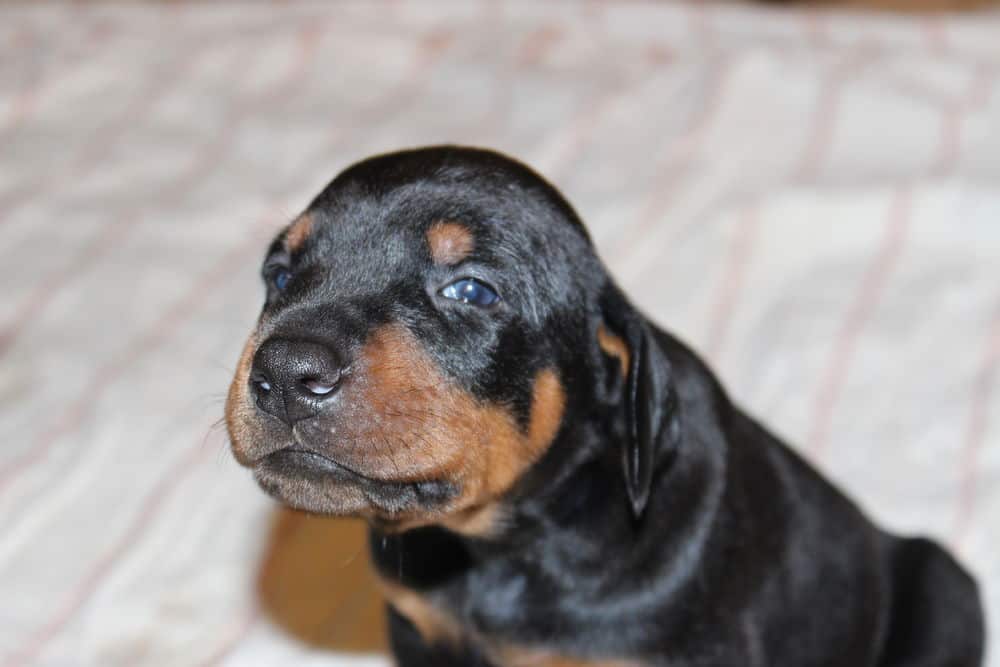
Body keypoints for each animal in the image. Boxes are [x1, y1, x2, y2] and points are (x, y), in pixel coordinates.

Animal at [227, 147, 984, 667]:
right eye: (281, 276)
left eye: (471, 291)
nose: (285, 370)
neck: (503, 544)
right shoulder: (419, 627)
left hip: (945, 592)